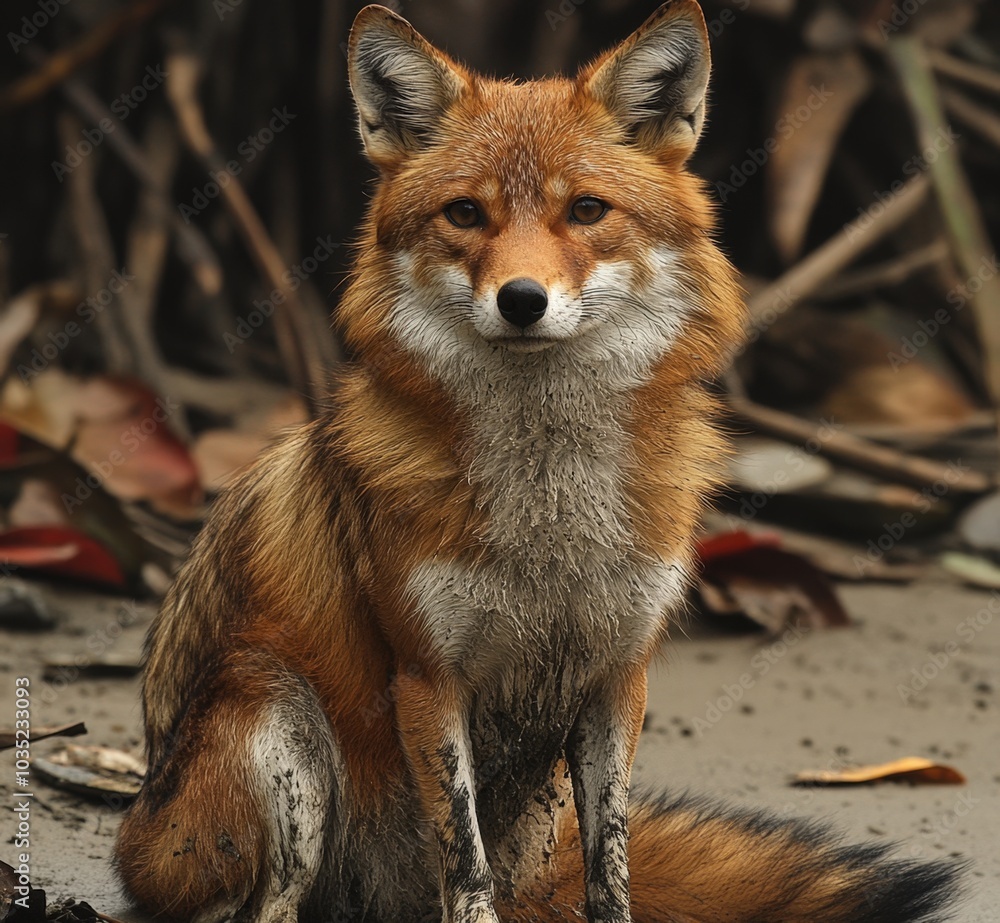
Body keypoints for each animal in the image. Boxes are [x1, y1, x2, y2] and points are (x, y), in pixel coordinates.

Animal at [115, 3, 962, 922]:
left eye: (586, 210)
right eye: (465, 214)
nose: (522, 300)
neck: (551, 520)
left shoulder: (618, 676)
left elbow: (612, 868)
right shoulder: (429, 676)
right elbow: (466, 865)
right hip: (276, 719)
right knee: (272, 901)